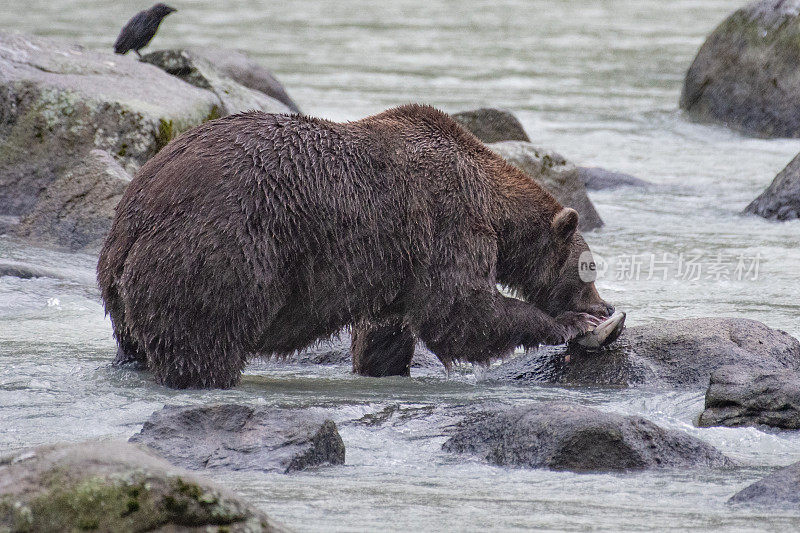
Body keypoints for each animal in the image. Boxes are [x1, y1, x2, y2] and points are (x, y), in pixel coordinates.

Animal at [98, 104, 612, 386]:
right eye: (589, 269)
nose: (604, 306)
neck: (491, 201)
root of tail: (132, 217)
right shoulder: (448, 220)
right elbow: (459, 310)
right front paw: (570, 324)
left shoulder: (394, 265)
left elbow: (387, 331)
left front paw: (383, 364)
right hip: (220, 249)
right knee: (205, 337)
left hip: (127, 282)